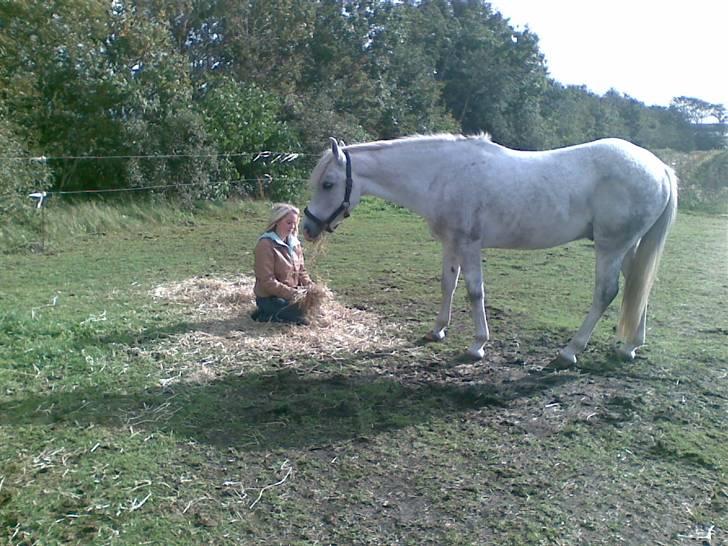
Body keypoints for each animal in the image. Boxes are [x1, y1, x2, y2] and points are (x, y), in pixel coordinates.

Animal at [302, 134, 676, 364]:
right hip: (627, 247)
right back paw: (630, 346)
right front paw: (437, 330)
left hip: (611, 247)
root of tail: (659, 168)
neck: (443, 175)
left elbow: (474, 291)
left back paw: (571, 351)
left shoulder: (469, 244)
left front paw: (477, 345)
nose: (307, 228)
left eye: (328, 184)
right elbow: (448, 285)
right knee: (638, 285)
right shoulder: (451, 244)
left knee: (606, 293)